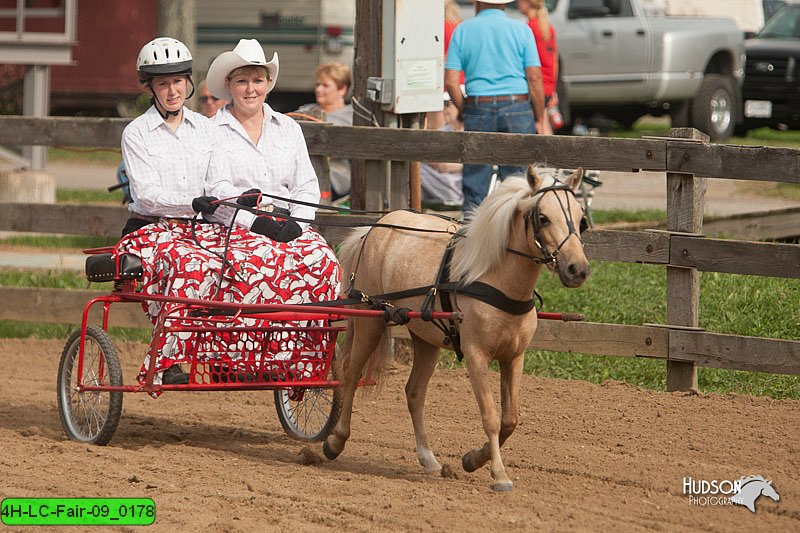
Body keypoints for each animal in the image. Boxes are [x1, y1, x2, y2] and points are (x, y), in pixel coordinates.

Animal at [322, 166, 592, 490]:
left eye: (581, 218)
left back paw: (428, 459)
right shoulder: (476, 355)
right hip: (369, 321)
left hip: (424, 338)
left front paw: (473, 459)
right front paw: (499, 474)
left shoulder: (514, 357)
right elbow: (490, 416)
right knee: (349, 375)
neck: (497, 280)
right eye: (543, 217)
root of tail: (374, 228)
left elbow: (510, 419)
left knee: (414, 393)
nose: (577, 270)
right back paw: (335, 441)